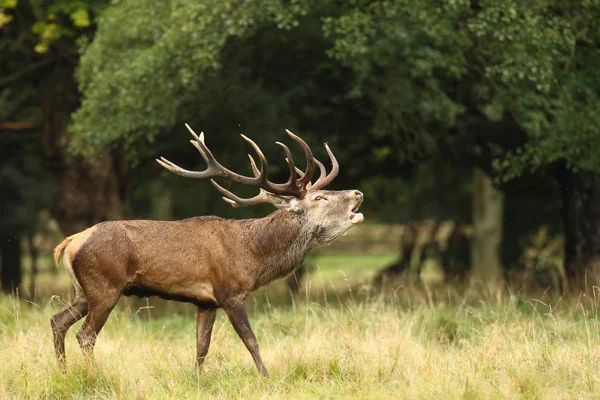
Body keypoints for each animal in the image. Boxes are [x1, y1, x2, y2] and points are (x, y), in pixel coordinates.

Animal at [51, 123, 360, 376]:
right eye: (319, 198)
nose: (357, 193)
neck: (253, 256)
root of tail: (69, 243)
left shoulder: (206, 302)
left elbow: (202, 347)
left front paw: (197, 380)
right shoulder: (229, 292)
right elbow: (251, 341)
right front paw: (267, 378)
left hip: (83, 291)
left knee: (57, 321)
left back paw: (63, 373)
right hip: (105, 286)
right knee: (85, 335)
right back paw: (91, 374)